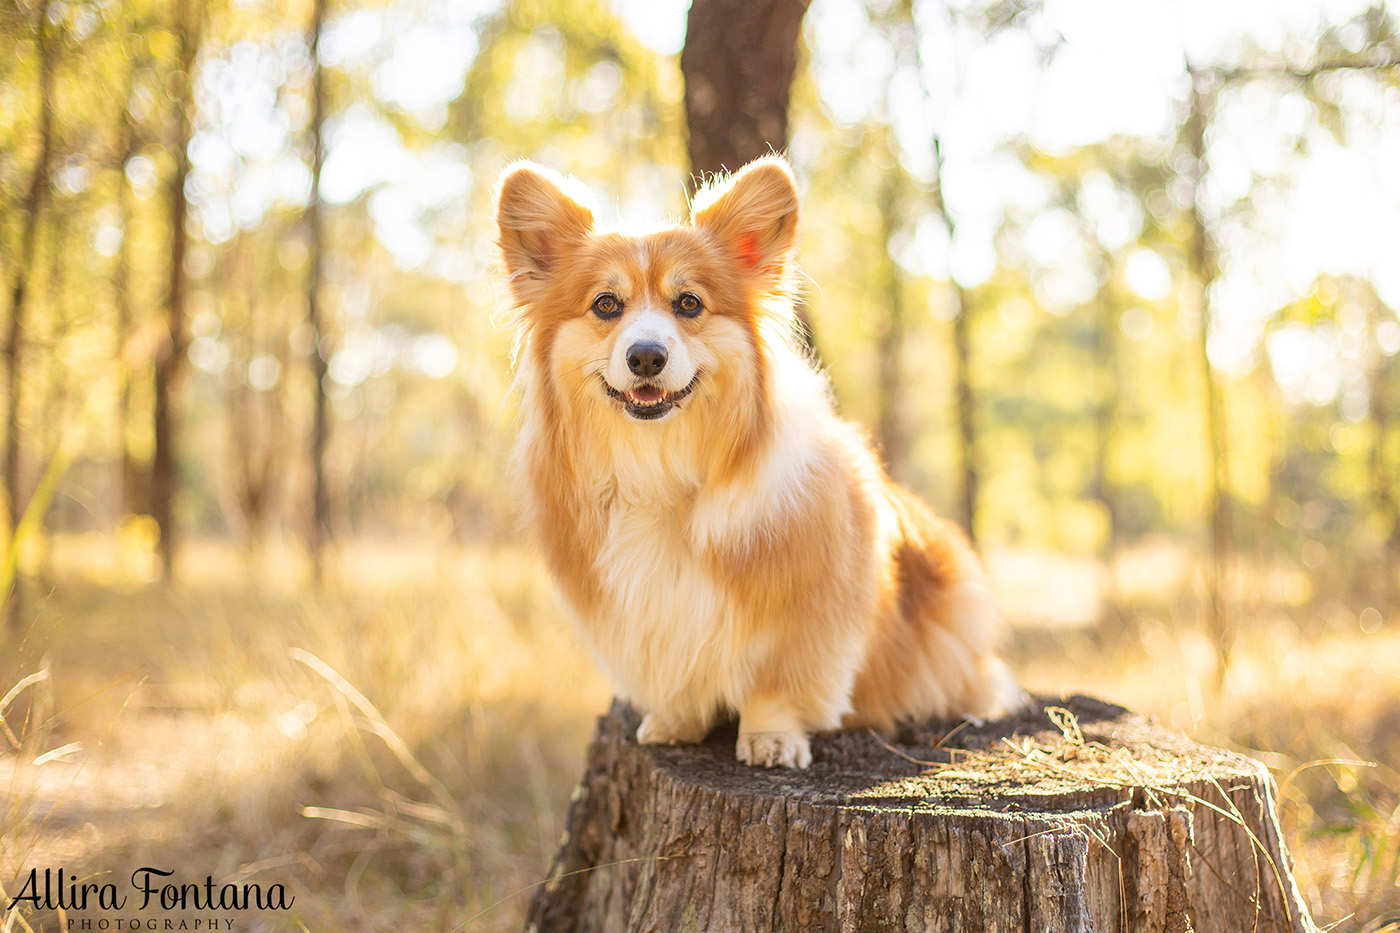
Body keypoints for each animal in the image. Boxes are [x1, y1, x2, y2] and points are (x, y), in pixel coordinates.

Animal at [495, 154, 1019, 762]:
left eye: (689, 303)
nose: (646, 356)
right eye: (606, 304)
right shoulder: (643, 619)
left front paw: (770, 739)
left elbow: (776, 684)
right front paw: (674, 721)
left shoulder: (804, 612)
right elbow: (672, 674)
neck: (659, 464)